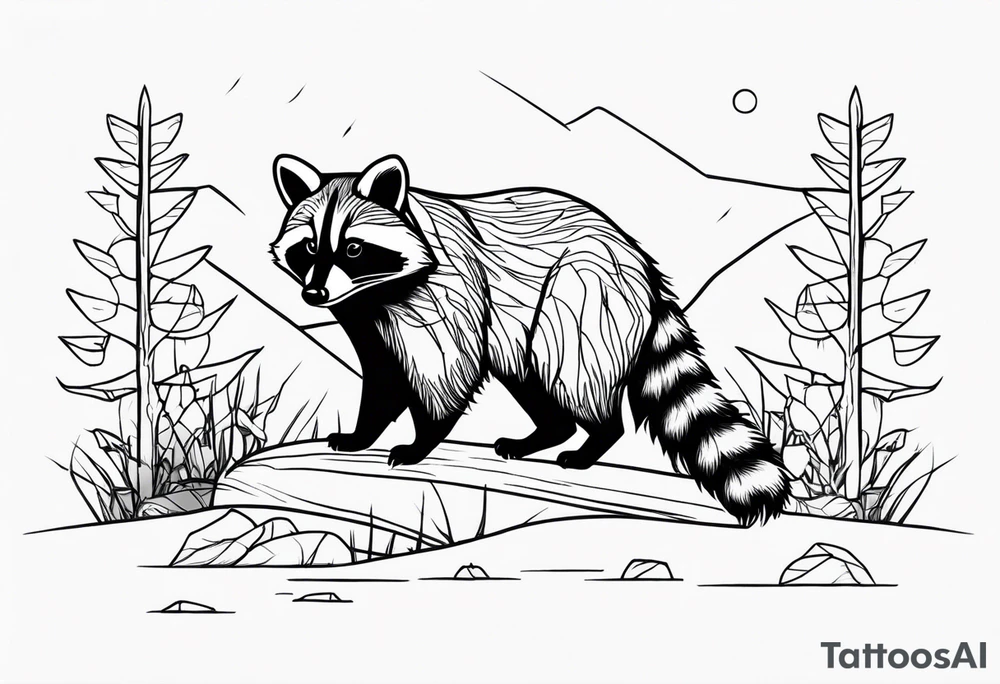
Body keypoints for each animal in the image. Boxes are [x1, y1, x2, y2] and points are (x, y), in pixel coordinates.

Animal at [270, 154, 790, 524]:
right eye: (309, 247)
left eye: (353, 248)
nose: (314, 293)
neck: (375, 291)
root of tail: (637, 257)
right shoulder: (367, 317)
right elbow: (382, 377)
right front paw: (364, 432)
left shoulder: (446, 293)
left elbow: (446, 373)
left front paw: (422, 441)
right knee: (529, 376)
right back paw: (546, 432)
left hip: (579, 299)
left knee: (571, 374)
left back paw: (593, 440)